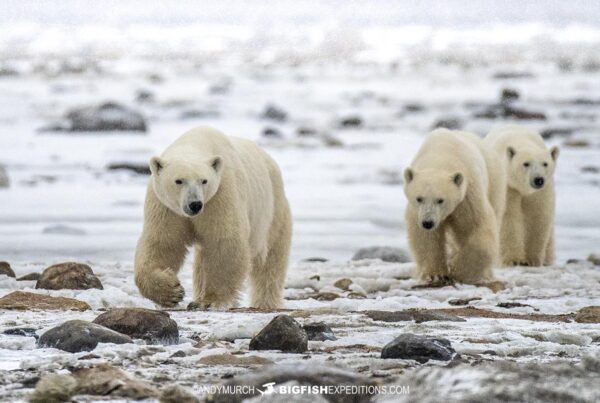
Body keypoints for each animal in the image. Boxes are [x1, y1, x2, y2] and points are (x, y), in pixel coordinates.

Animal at [137, 126, 296, 310]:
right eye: (179, 181)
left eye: (204, 181)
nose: (195, 204)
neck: (196, 142)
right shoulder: (166, 207)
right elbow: (163, 243)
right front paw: (171, 292)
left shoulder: (220, 194)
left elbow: (224, 242)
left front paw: (210, 300)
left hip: (271, 211)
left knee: (271, 259)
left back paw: (265, 302)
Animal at [404, 129, 506, 284]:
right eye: (419, 198)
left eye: (440, 200)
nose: (428, 222)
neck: (441, 155)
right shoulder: (417, 212)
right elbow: (426, 238)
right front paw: (435, 274)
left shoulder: (468, 194)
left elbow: (476, 226)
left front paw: (458, 270)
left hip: (494, 181)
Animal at [482, 124, 556, 266]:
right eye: (526, 163)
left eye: (545, 163)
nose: (538, 179)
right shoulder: (508, 186)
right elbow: (509, 218)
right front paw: (515, 260)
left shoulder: (541, 192)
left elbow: (538, 215)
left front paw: (533, 259)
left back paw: (547, 260)